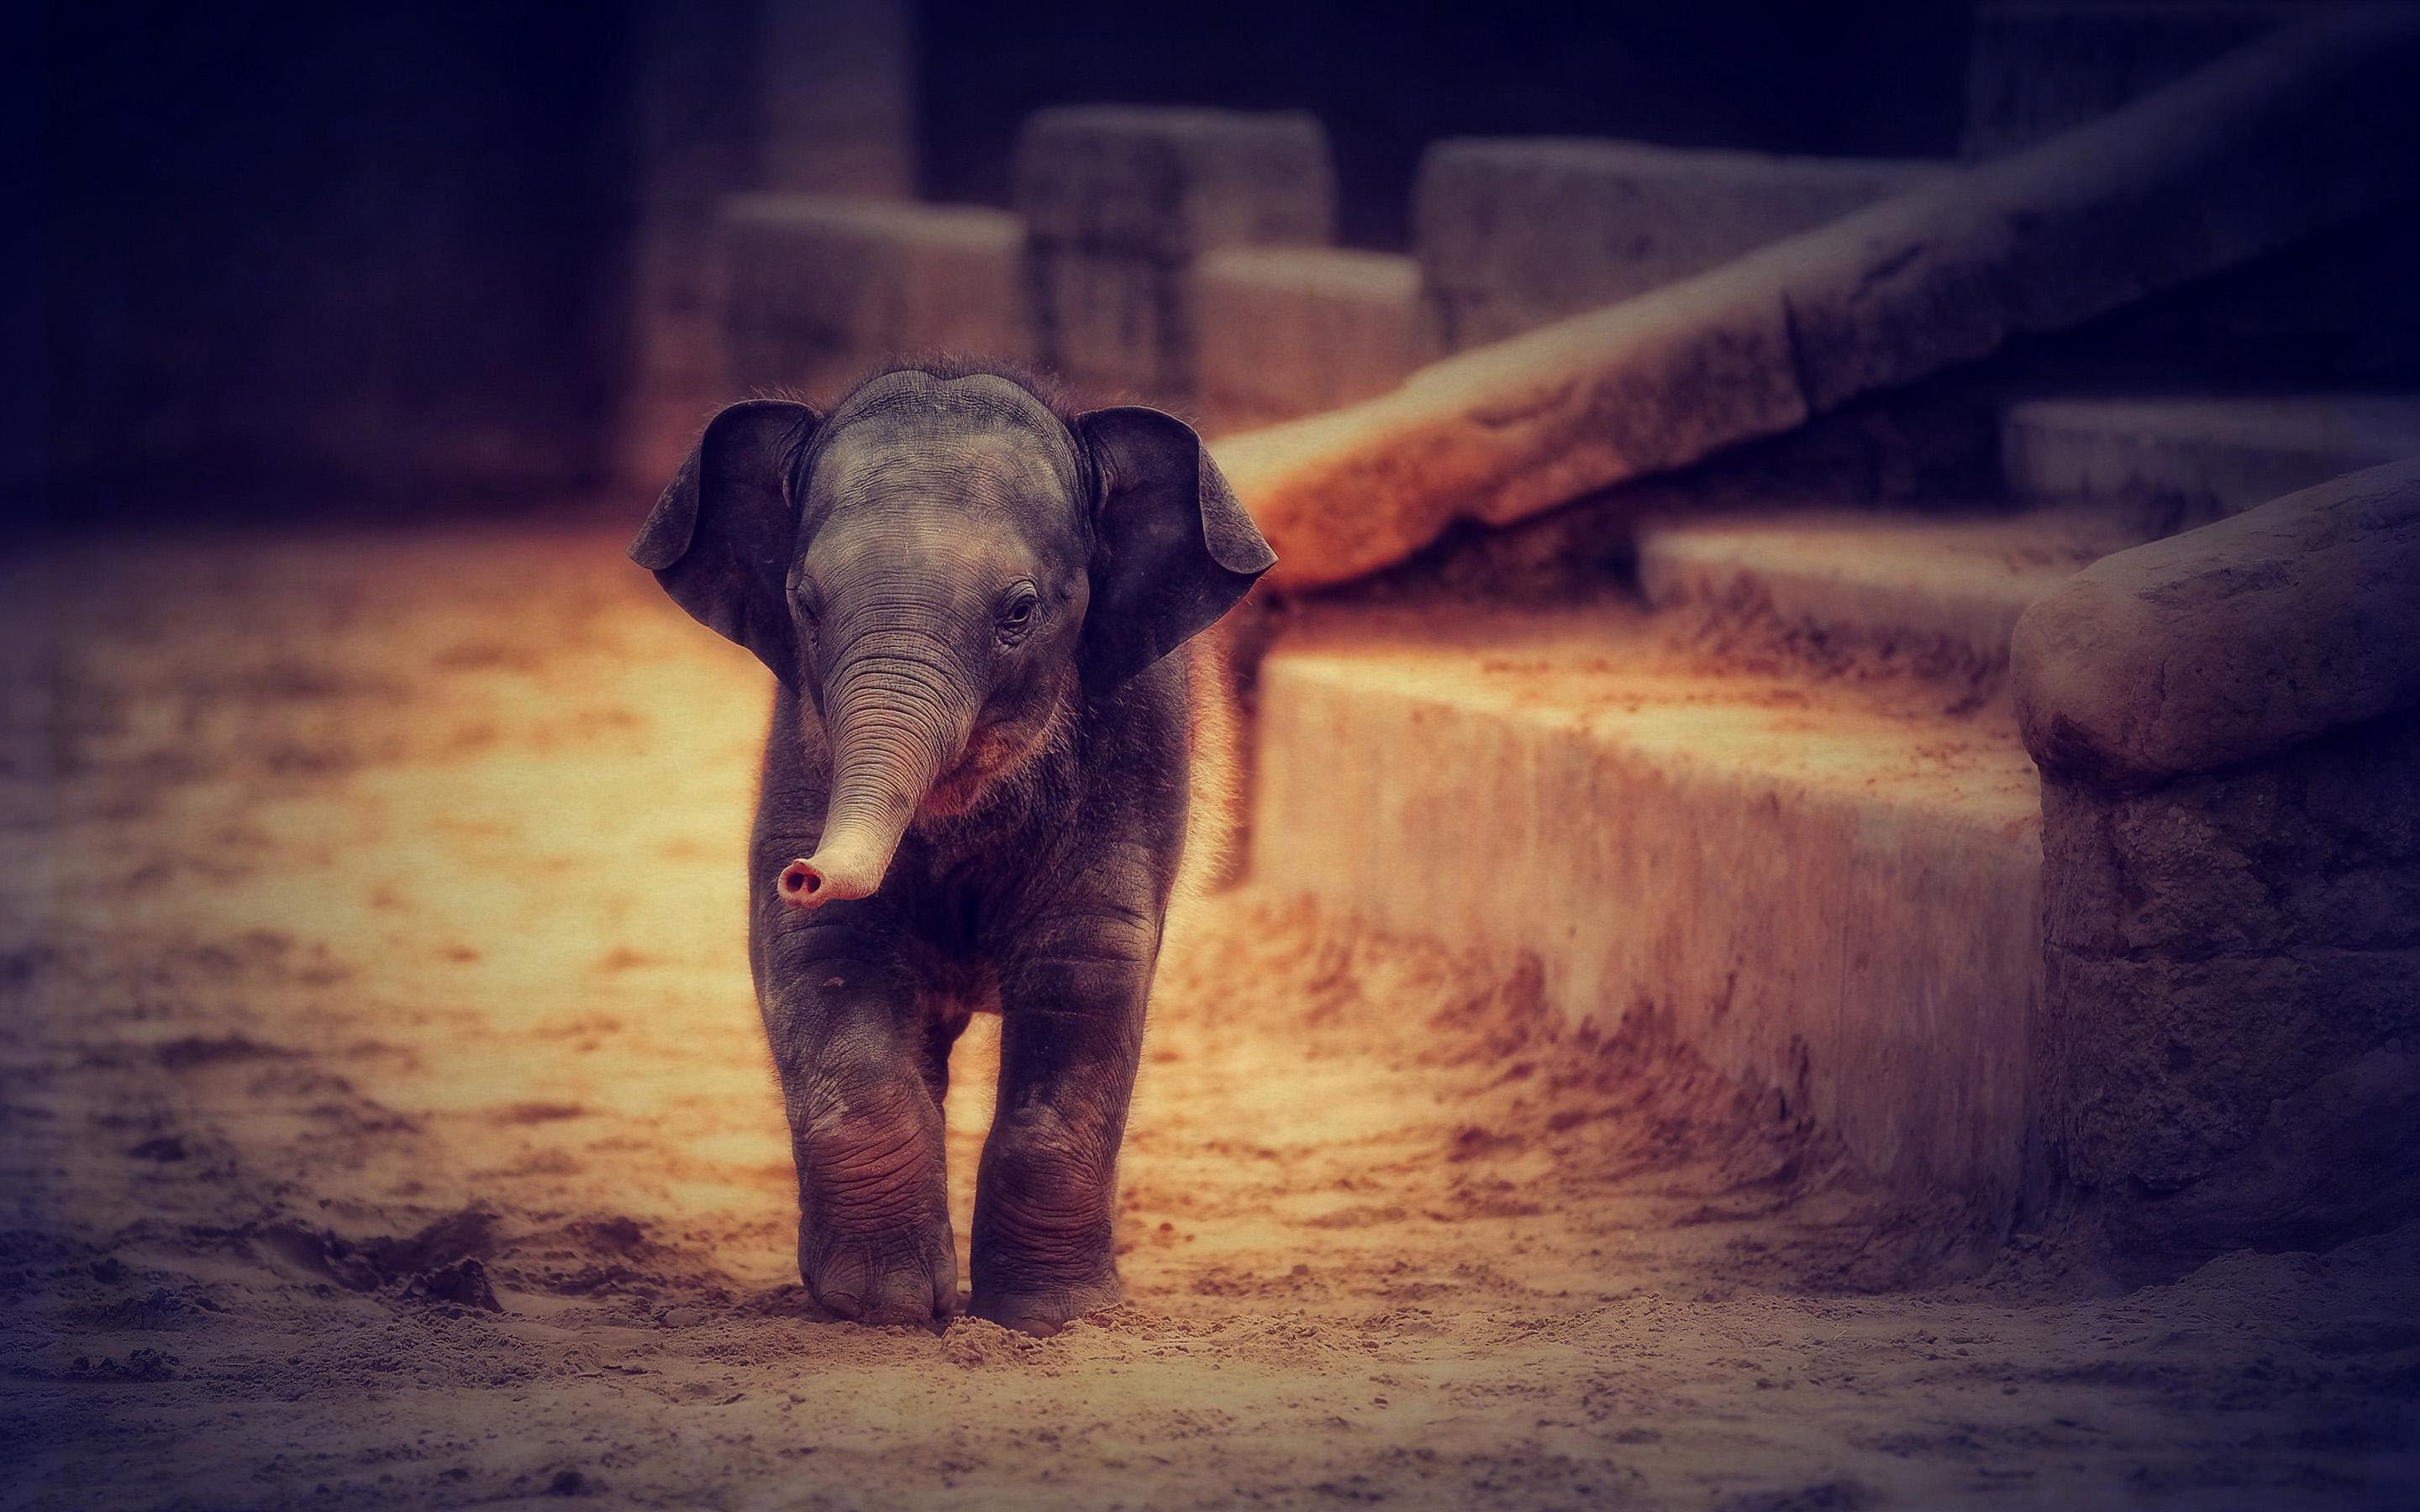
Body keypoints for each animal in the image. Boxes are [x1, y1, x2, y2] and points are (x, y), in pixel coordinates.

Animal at [628, 359, 1274, 1334]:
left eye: (1019, 611)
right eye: (805, 604)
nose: (805, 873)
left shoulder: (1138, 750)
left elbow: (1086, 968)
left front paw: (1051, 1319)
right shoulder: (804, 744)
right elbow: (824, 959)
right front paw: (882, 1310)